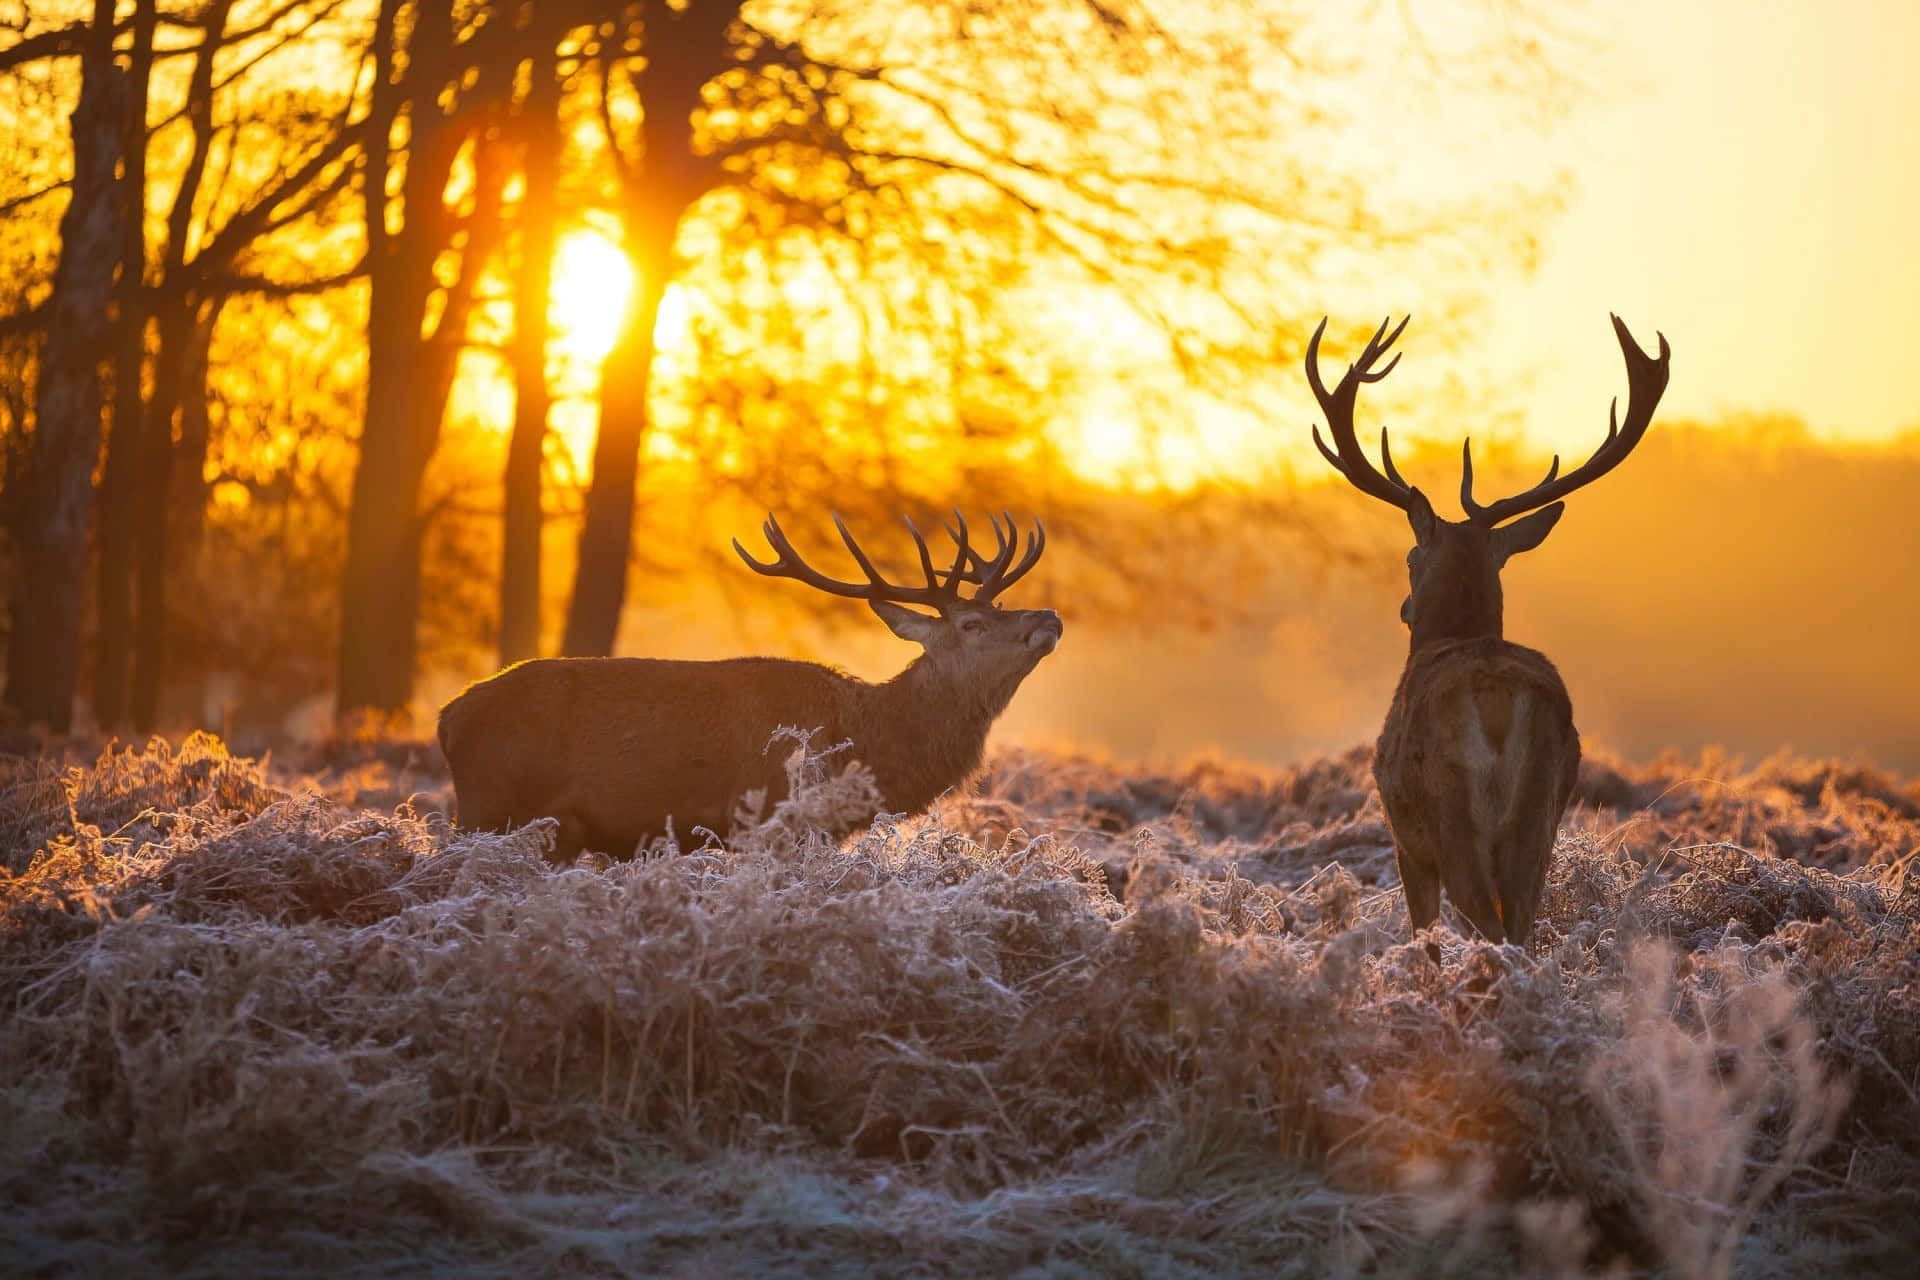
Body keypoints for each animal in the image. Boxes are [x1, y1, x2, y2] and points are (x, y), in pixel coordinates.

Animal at [437, 510, 1059, 859]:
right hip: (488, 808)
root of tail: (448, 718)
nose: (1048, 616)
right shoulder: (776, 821)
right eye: (971, 624)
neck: (865, 743)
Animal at [1313, 314, 1674, 948]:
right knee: (1522, 923)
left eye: (1410, 556)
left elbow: (1425, 931)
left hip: (1451, 810)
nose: (1405, 608)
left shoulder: (1406, 840)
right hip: (1541, 811)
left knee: (1484, 917)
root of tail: (1498, 697)